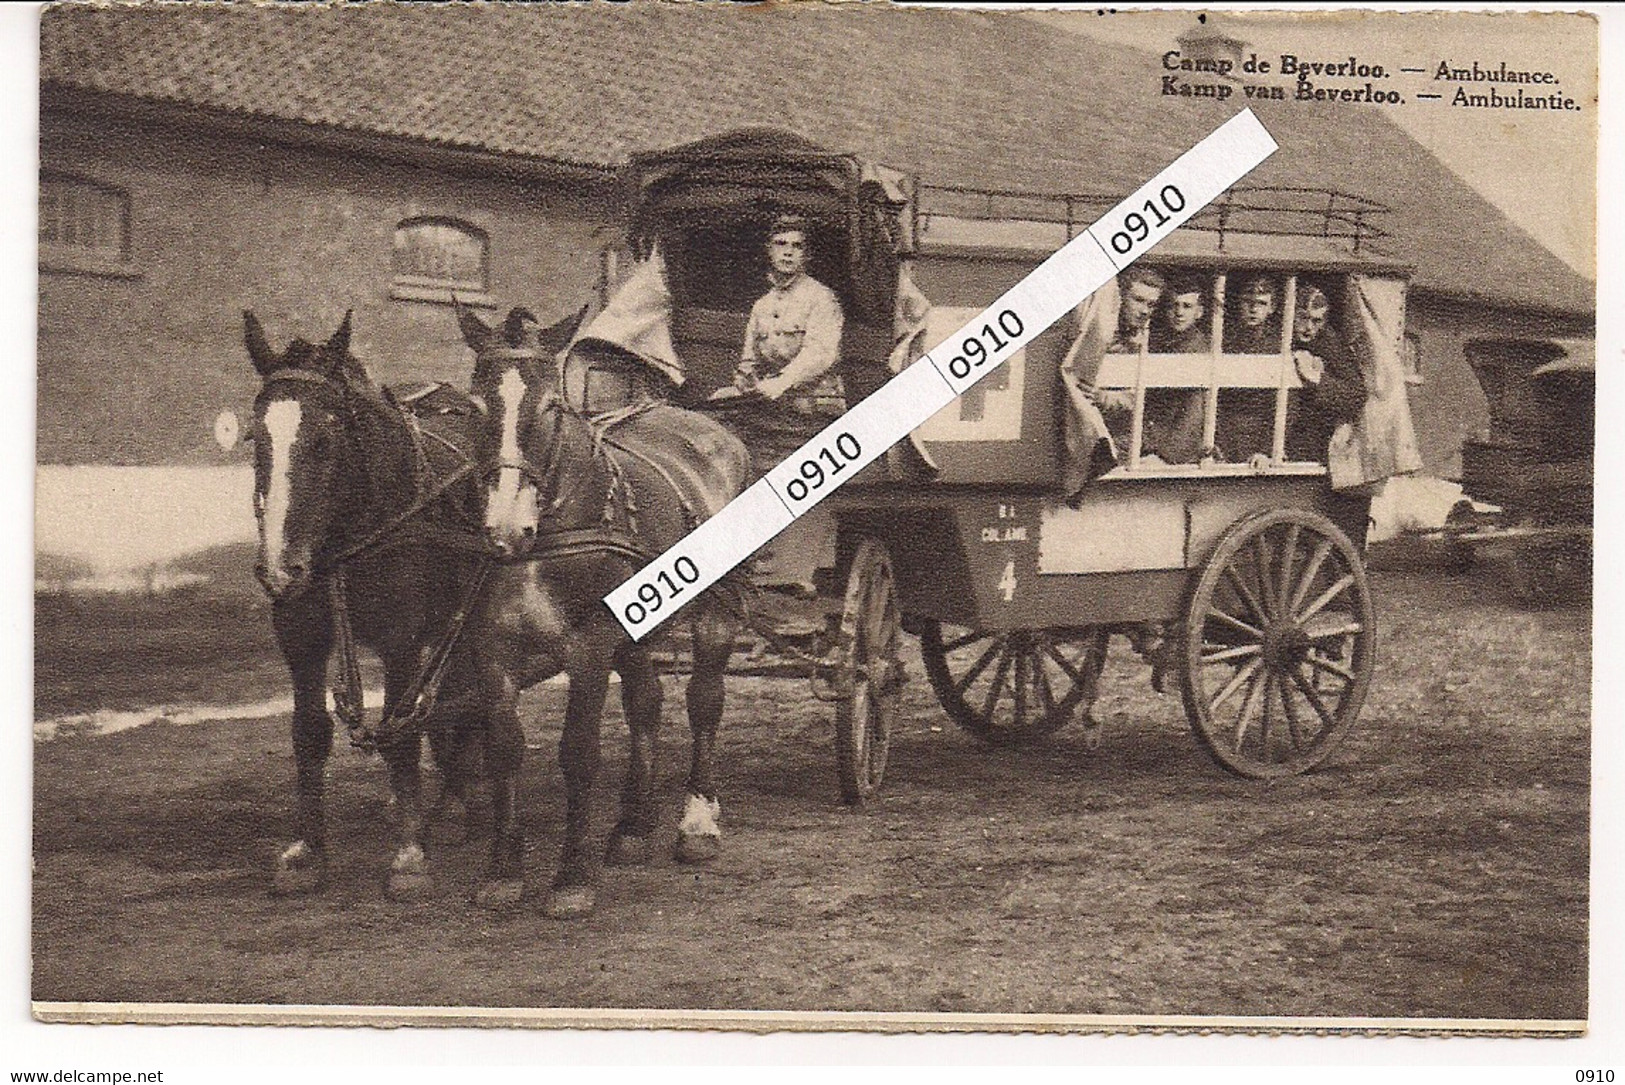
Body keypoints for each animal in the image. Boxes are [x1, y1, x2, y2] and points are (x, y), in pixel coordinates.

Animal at [243, 311, 487, 896]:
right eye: (255, 436)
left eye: (326, 438)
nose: (280, 568)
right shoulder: (300, 640)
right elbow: (309, 734)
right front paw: (308, 852)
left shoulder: (402, 641)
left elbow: (402, 733)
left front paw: (409, 854)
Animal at [458, 303, 747, 916]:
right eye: (474, 406)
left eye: (551, 406)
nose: (505, 529)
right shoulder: (491, 645)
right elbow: (504, 749)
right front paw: (502, 871)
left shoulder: (589, 646)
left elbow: (579, 752)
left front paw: (571, 877)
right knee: (647, 703)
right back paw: (633, 826)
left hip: (716, 612)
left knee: (704, 701)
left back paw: (697, 820)